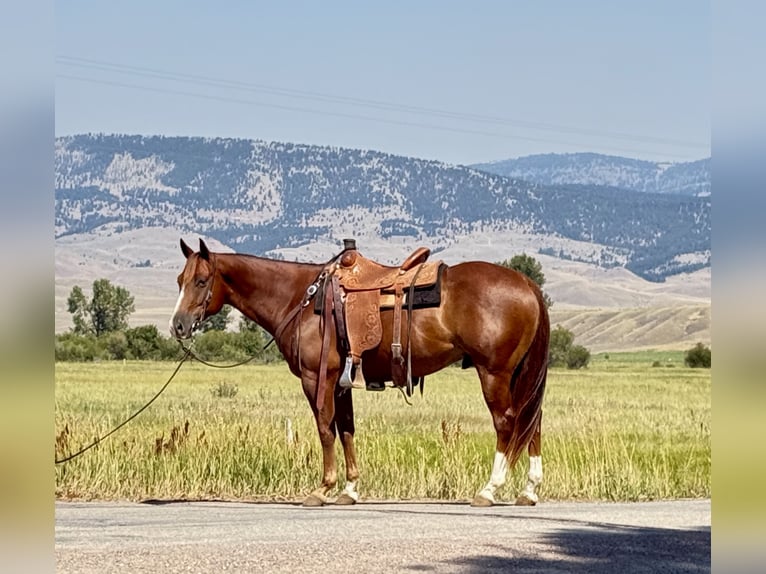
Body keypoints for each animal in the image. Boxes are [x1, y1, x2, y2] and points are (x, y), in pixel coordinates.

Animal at [170, 238, 549, 507]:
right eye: (179, 280)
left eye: (201, 281)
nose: (178, 325)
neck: (300, 298)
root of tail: (527, 283)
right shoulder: (342, 383)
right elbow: (347, 429)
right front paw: (349, 489)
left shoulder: (317, 378)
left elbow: (325, 429)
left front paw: (323, 488)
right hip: (520, 374)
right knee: (532, 421)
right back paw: (529, 491)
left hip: (494, 372)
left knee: (507, 422)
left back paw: (489, 489)